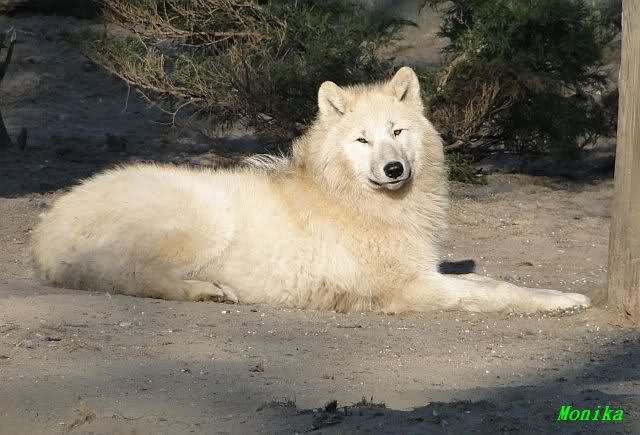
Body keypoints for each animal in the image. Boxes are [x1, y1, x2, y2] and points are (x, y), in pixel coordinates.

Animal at [31, 67, 590, 313]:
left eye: (397, 131)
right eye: (362, 139)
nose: (393, 169)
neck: (356, 202)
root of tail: (46, 227)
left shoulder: (422, 270)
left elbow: (492, 281)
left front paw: (562, 295)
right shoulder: (405, 288)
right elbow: (492, 292)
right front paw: (559, 301)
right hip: (203, 222)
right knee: (136, 278)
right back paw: (206, 291)